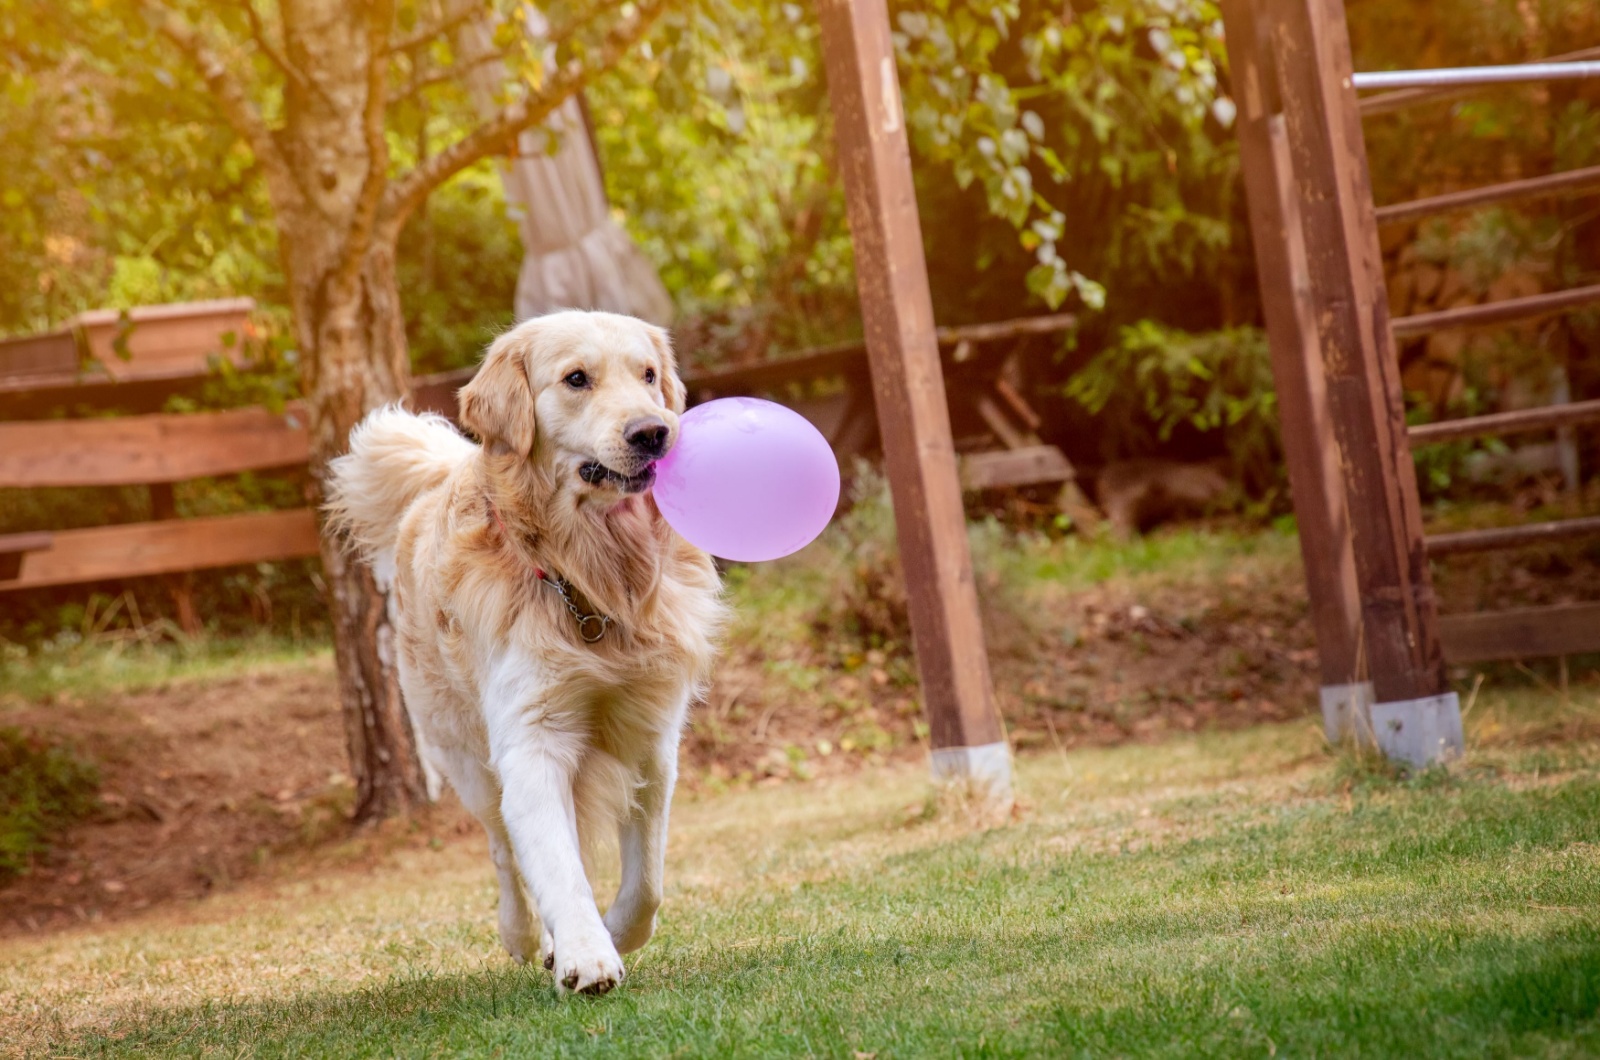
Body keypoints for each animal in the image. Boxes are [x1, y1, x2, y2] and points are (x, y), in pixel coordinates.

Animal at [326, 309, 726, 999]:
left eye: (649, 375)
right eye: (576, 379)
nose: (654, 432)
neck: (587, 581)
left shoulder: (652, 737)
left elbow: (647, 882)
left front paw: (608, 935)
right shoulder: (531, 741)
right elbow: (554, 865)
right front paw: (585, 955)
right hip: (463, 754)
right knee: (502, 849)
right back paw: (522, 934)